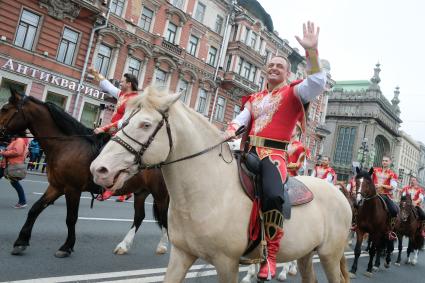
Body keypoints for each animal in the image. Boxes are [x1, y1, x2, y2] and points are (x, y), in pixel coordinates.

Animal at [0, 87, 169, 258]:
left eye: (5, 109)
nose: (1, 137)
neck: (67, 145)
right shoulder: (56, 187)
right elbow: (35, 209)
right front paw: (21, 242)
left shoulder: (72, 189)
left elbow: (71, 218)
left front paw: (66, 246)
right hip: (141, 192)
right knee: (139, 217)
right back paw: (123, 245)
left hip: (160, 194)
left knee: (164, 217)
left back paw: (162, 246)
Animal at [90, 87, 352, 282]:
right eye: (122, 121)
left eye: (145, 124)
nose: (99, 169)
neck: (208, 191)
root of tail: (340, 194)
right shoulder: (182, 255)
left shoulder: (227, 263)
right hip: (307, 254)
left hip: (329, 255)